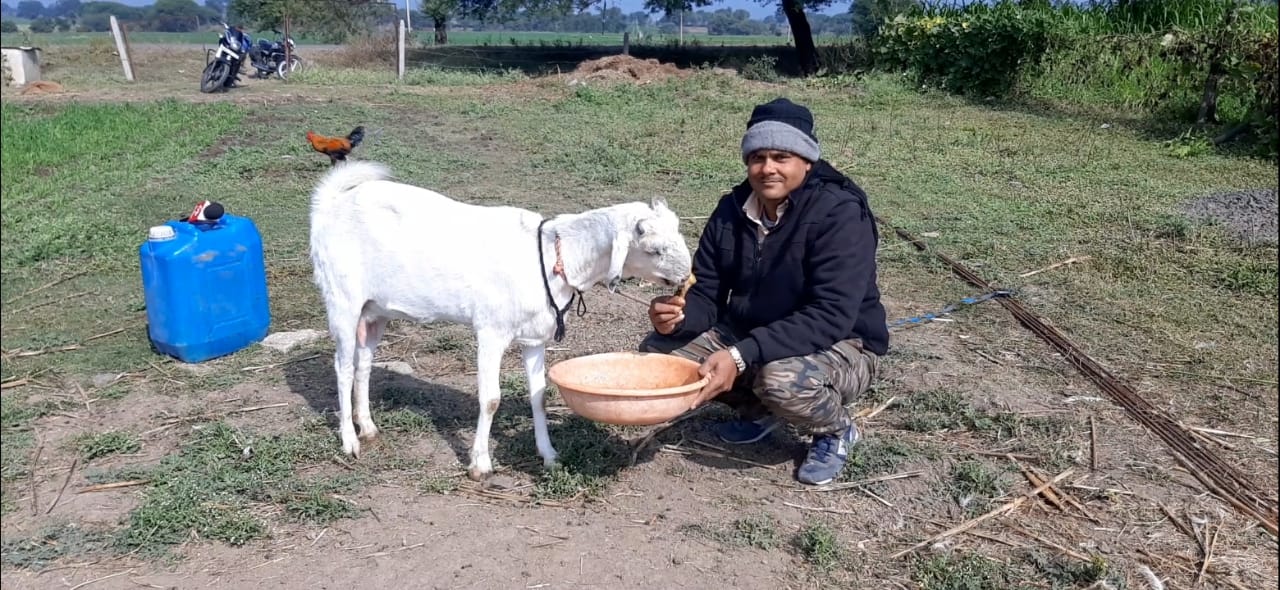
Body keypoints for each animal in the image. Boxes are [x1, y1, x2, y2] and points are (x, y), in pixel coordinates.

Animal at [307, 161, 691, 478]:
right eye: (654, 249)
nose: (686, 275)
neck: (552, 256)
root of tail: (330, 204)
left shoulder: (535, 337)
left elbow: (539, 394)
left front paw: (549, 455)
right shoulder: (491, 331)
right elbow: (490, 398)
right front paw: (480, 464)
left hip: (375, 310)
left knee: (364, 362)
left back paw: (369, 427)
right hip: (342, 299)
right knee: (343, 366)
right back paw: (350, 441)